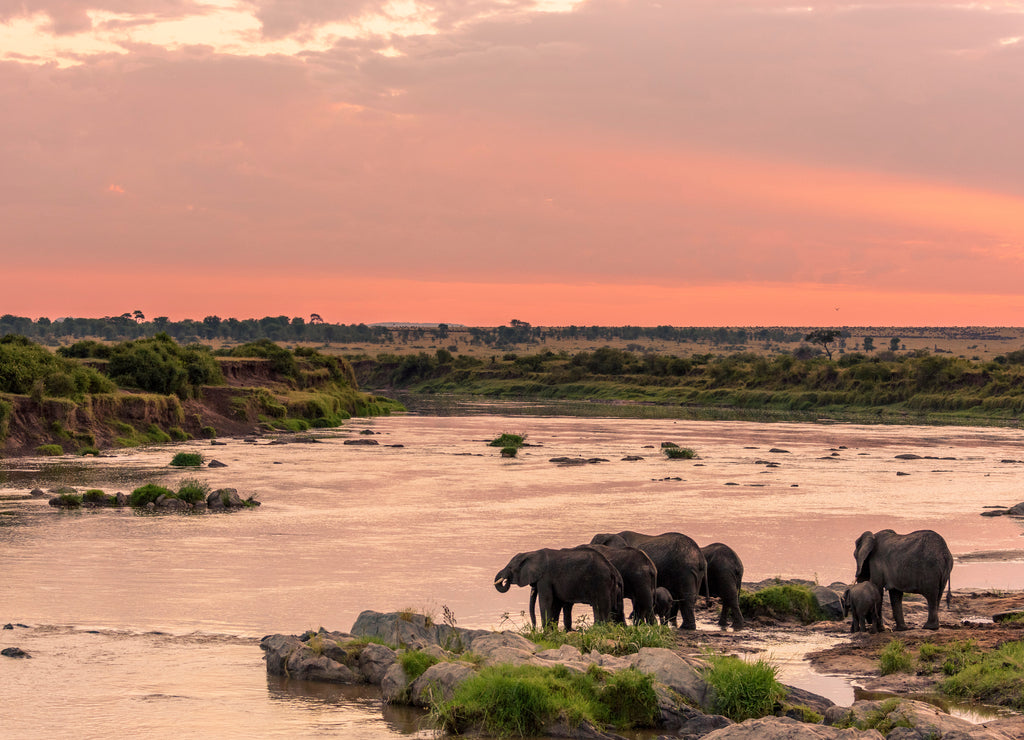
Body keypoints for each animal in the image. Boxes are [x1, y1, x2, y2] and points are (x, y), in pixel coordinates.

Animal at [494, 547, 623, 630]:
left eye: (510, 567)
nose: (533, 629)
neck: (531, 553)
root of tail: (613, 571)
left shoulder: (545, 578)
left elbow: (546, 601)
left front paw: (547, 632)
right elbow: (555, 603)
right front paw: (552, 631)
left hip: (601, 583)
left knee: (602, 607)